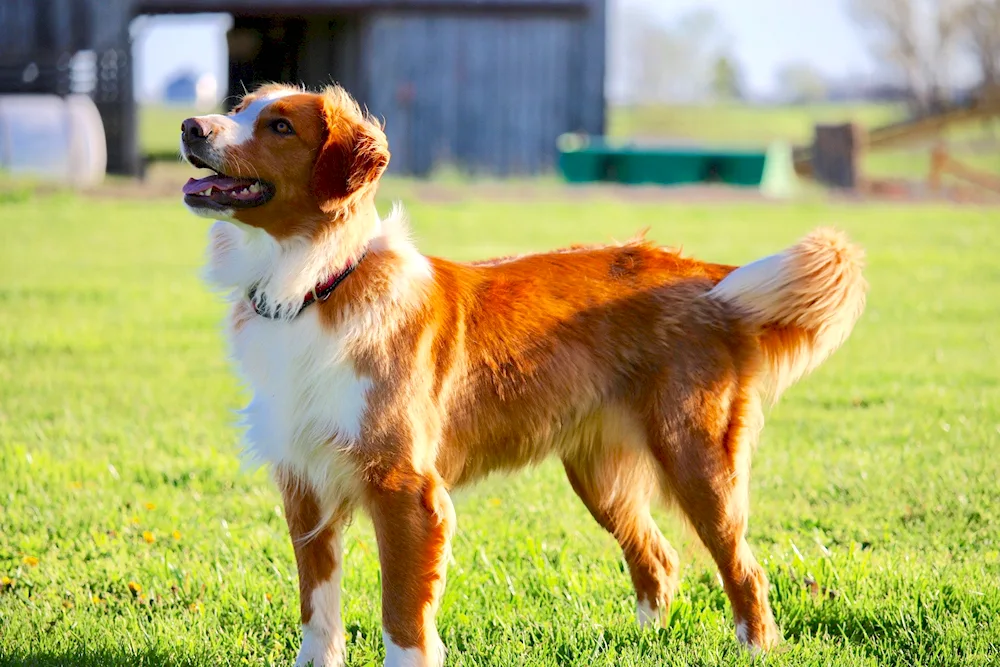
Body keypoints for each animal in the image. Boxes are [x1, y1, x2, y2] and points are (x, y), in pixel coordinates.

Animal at [180, 85, 868, 667]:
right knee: (659, 559)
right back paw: (641, 643)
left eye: (279, 126)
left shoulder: (405, 488)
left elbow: (402, 616)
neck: (319, 283)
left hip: (696, 459)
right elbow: (317, 611)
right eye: (238, 107)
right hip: (600, 476)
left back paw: (754, 647)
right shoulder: (306, 482)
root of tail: (700, 274)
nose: (190, 126)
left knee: (743, 568)